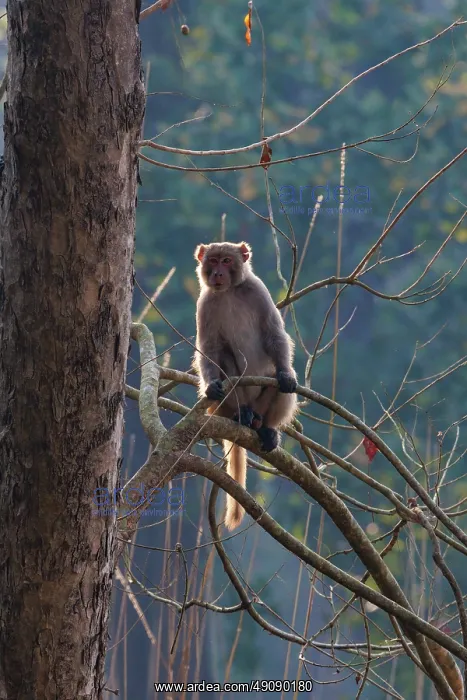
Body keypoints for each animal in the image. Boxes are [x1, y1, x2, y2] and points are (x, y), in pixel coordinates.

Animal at [193, 241, 297, 530]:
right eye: (213, 260)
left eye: (227, 261)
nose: (218, 273)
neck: (229, 291)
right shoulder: (205, 304)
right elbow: (209, 349)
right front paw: (211, 386)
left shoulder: (258, 292)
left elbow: (274, 334)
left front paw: (285, 375)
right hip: (222, 408)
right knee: (227, 361)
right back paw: (243, 414)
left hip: (263, 402)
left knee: (275, 381)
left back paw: (265, 427)